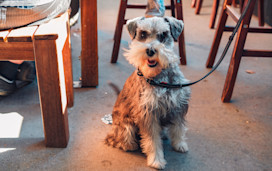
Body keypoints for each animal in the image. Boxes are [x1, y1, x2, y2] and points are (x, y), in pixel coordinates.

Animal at [105, 16, 190, 170]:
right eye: (143, 34)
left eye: (163, 35)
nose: (150, 50)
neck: (160, 78)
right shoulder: (148, 114)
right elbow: (152, 140)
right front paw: (156, 160)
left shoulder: (178, 106)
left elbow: (179, 128)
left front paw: (180, 144)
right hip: (126, 127)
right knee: (118, 139)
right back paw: (129, 145)